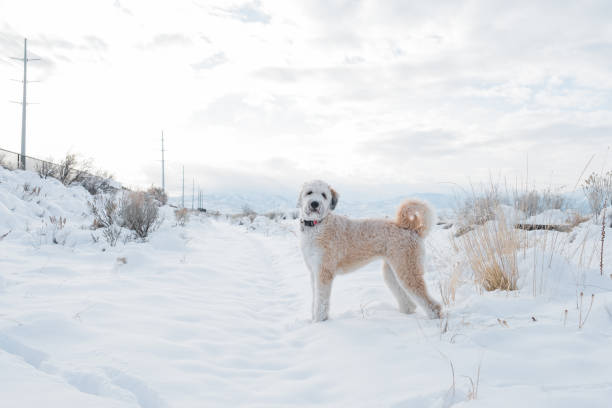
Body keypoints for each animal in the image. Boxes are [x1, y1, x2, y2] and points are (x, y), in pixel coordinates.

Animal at [296, 180, 440, 320]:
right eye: (309, 192)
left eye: (324, 195)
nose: (314, 203)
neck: (317, 226)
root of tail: (413, 230)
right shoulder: (314, 271)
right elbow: (315, 299)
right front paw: (314, 319)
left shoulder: (324, 271)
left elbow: (321, 302)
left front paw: (319, 321)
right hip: (392, 272)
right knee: (409, 302)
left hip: (408, 269)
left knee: (432, 305)